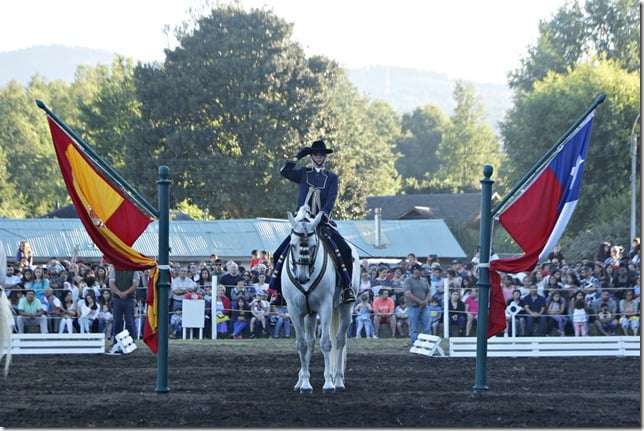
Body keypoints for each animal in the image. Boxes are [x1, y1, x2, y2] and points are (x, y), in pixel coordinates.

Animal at [282, 206, 358, 394]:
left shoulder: (325, 307)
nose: (302, 277)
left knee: (340, 340)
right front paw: (305, 384)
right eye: (292, 245)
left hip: (345, 308)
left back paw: (337, 380)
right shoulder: (295, 310)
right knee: (310, 342)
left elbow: (326, 344)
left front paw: (328, 384)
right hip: (309, 313)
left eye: (313, 245)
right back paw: (301, 381)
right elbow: (302, 345)